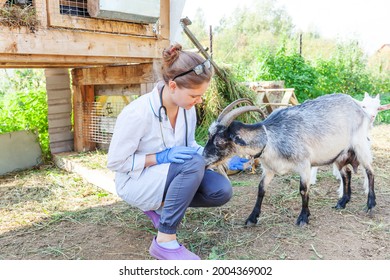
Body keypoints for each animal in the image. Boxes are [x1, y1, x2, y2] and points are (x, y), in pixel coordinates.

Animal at [203, 95, 376, 226]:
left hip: (360, 146)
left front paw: (303, 218)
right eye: (209, 135)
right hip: (339, 154)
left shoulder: (304, 164)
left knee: (370, 171)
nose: (204, 160)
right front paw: (252, 218)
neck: (271, 139)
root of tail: (359, 107)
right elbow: (261, 189)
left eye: (220, 142)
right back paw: (342, 202)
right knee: (346, 173)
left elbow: (303, 190)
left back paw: (370, 204)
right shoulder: (269, 169)